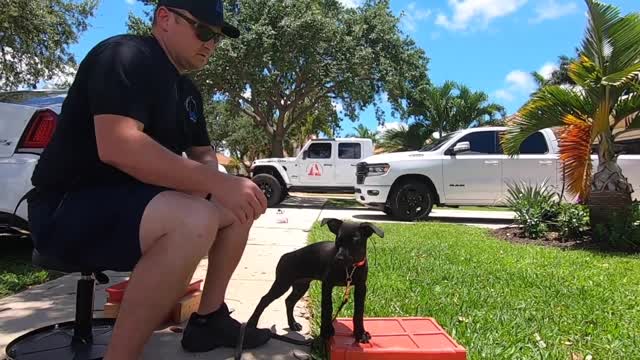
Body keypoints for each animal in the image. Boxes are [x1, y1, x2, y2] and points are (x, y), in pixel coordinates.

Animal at [248, 217, 382, 344]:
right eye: (338, 241)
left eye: (355, 242)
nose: (338, 259)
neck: (349, 268)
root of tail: (286, 255)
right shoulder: (327, 284)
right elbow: (327, 308)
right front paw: (326, 332)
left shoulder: (361, 287)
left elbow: (358, 312)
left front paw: (360, 334)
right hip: (282, 283)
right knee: (265, 299)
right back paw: (251, 324)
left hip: (301, 286)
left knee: (289, 301)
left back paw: (292, 324)